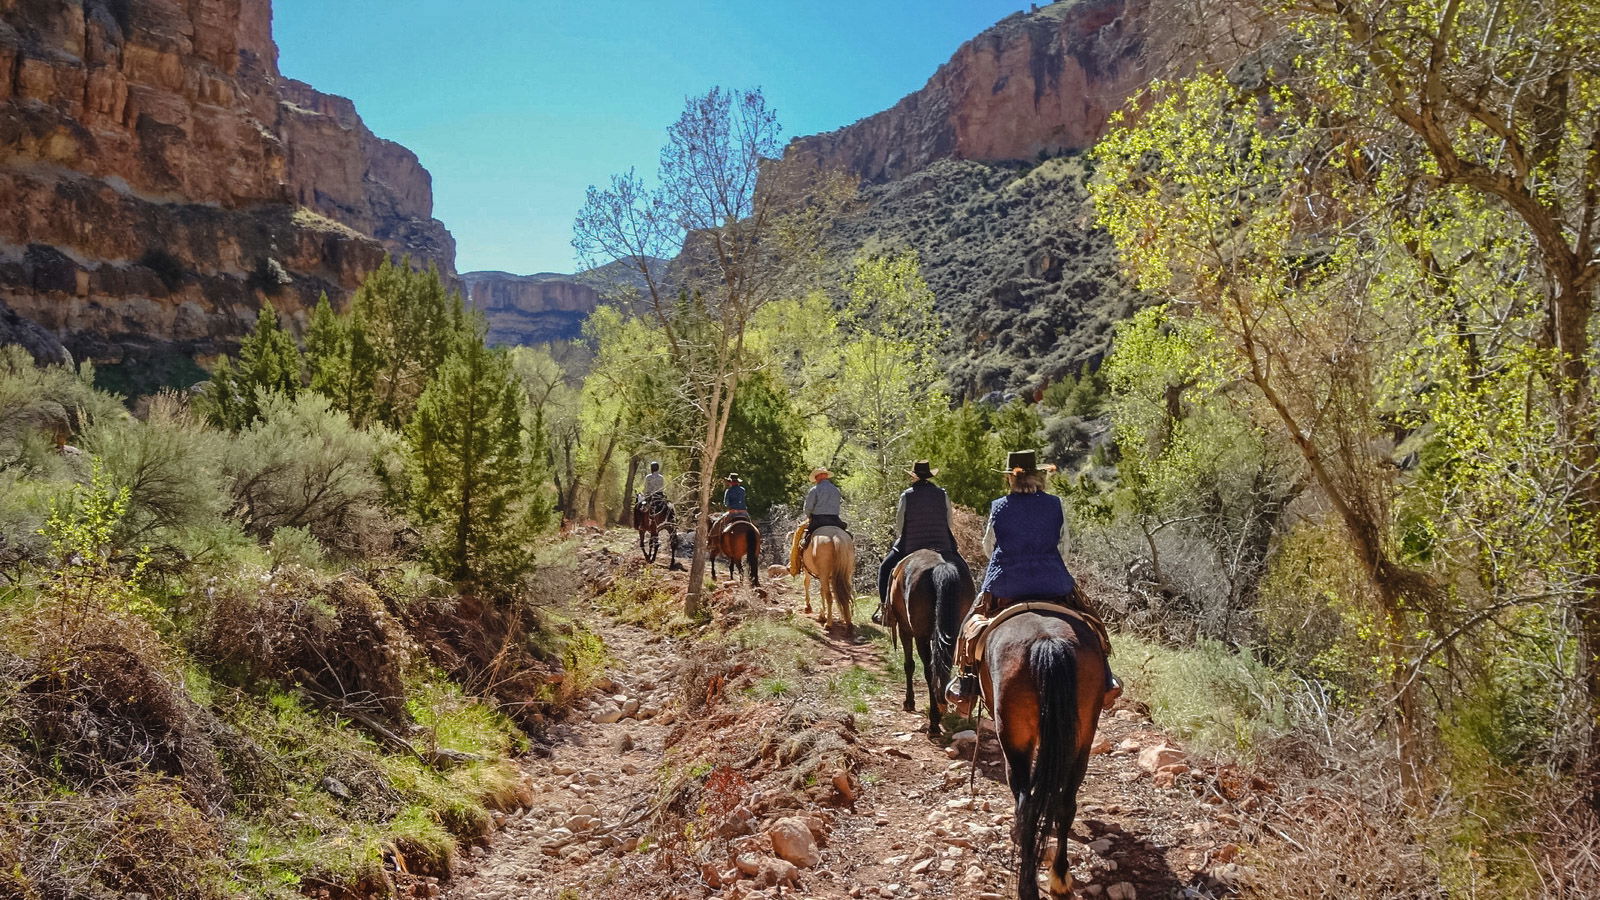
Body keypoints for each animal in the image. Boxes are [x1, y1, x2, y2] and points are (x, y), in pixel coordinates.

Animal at [887, 549, 974, 735]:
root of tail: (941, 566)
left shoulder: (905, 630)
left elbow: (909, 665)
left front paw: (909, 702)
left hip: (921, 637)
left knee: (930, 672)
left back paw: (933, 722)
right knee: (943, 669)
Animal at [981, 610, 1108, 899]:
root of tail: (1048, 641)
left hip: (1014, 743)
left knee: (1025, 807)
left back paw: (1027, 886)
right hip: (1082, 740)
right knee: (1066, 805)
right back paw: (1060, 877)